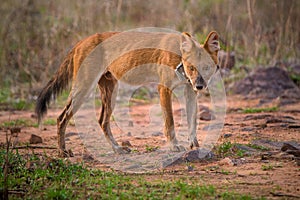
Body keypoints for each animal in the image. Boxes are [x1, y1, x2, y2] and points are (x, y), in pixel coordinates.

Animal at [35, 30, 220, 156]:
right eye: (192, 68)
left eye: (206, 68)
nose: (200, 86)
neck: (179, 56)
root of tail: (81, 41)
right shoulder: (164, 89)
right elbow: (170, 122)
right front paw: (174, 146)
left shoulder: (190, 92)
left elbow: (192, 122)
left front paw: (195, 146)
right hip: (84, 89)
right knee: (61, 118)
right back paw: (63, 152)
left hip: (111, 93)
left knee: (102, 121)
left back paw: (117, 148)